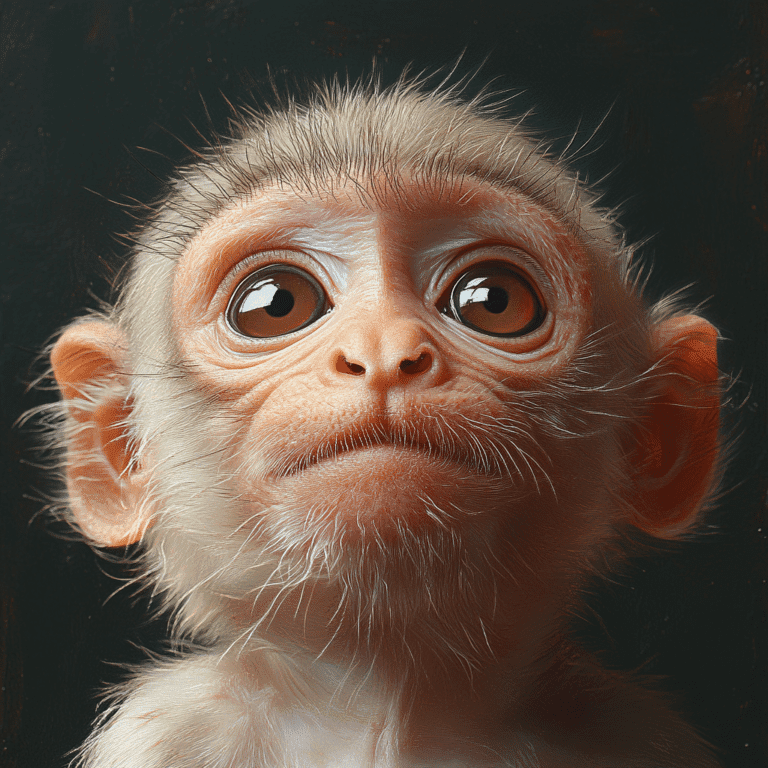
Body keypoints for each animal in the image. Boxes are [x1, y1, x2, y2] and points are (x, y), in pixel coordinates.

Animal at [44, 75, 724, 767]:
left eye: (494, 300)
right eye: (276, 304)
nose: (383, 351)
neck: (385, 704)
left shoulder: (636, 735)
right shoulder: (166, 732)